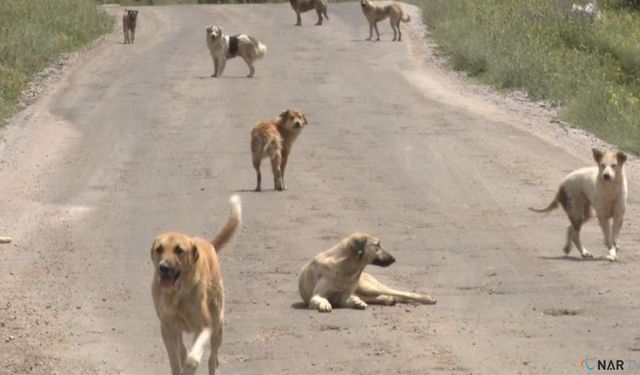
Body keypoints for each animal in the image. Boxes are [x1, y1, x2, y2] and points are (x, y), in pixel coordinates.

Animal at [150, 195, 242, 375]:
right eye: (159, 249)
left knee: (213, 359)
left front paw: (189, 368)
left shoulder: (205, 327)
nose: (163, 267)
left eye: (179, 250)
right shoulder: (167, 328)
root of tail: (207, 243)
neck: (178, 293)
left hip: (218, 325)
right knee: (183, 350)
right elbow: (175, 359)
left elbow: (193, 359)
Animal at [298, 234, 438, 312]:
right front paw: (324, 303)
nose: (394, 259)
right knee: (384, 296)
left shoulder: (345, 296)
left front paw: (356, 303)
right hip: (366, 291)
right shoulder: (318, 295)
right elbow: (318, 299)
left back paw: (426, 298)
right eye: (377, 245)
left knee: (402, 293)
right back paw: (387, 300)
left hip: (369, 287)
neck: (345, 267)